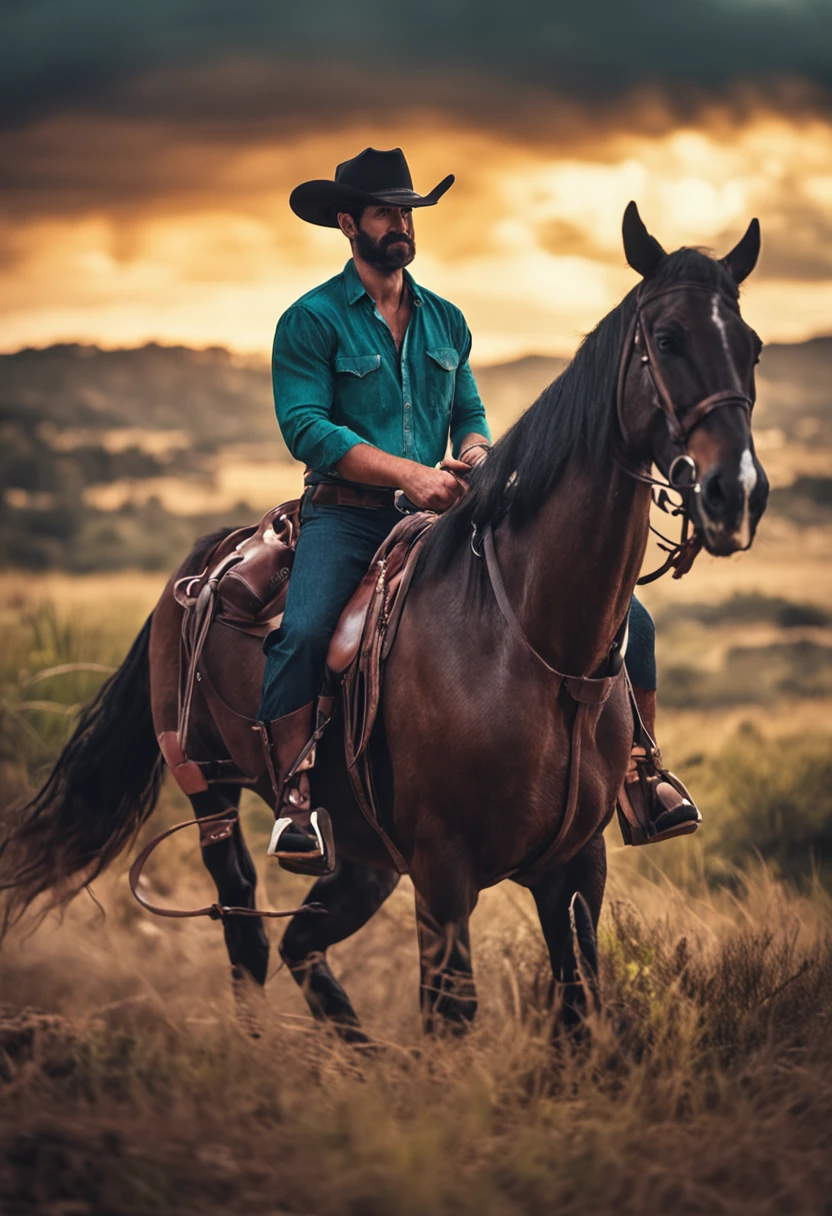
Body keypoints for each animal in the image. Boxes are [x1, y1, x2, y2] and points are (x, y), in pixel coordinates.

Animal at [0, 206, 768, 1036]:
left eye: (752, 348)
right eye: (667, 340)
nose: (736, 493)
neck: (529, 644)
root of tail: (204, 563)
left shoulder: (574, 869)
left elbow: (574, 1010)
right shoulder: (443, 869)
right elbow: (450, 1012)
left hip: (363, 850)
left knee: (301, 942)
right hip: (212, 791)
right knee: (247, 934)